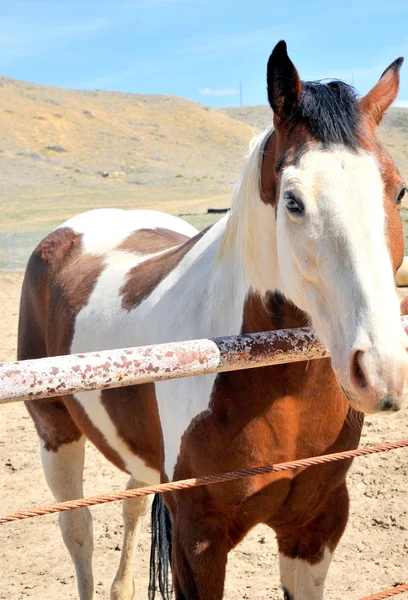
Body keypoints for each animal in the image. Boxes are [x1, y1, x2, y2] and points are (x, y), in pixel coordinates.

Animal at [17, 42, 408, 600]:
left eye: (397, 190)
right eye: (293, 201)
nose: (381, 370)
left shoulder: (316, 527)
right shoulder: (198, 541)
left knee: (132, 503)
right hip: (56, 432)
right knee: (78, 532)